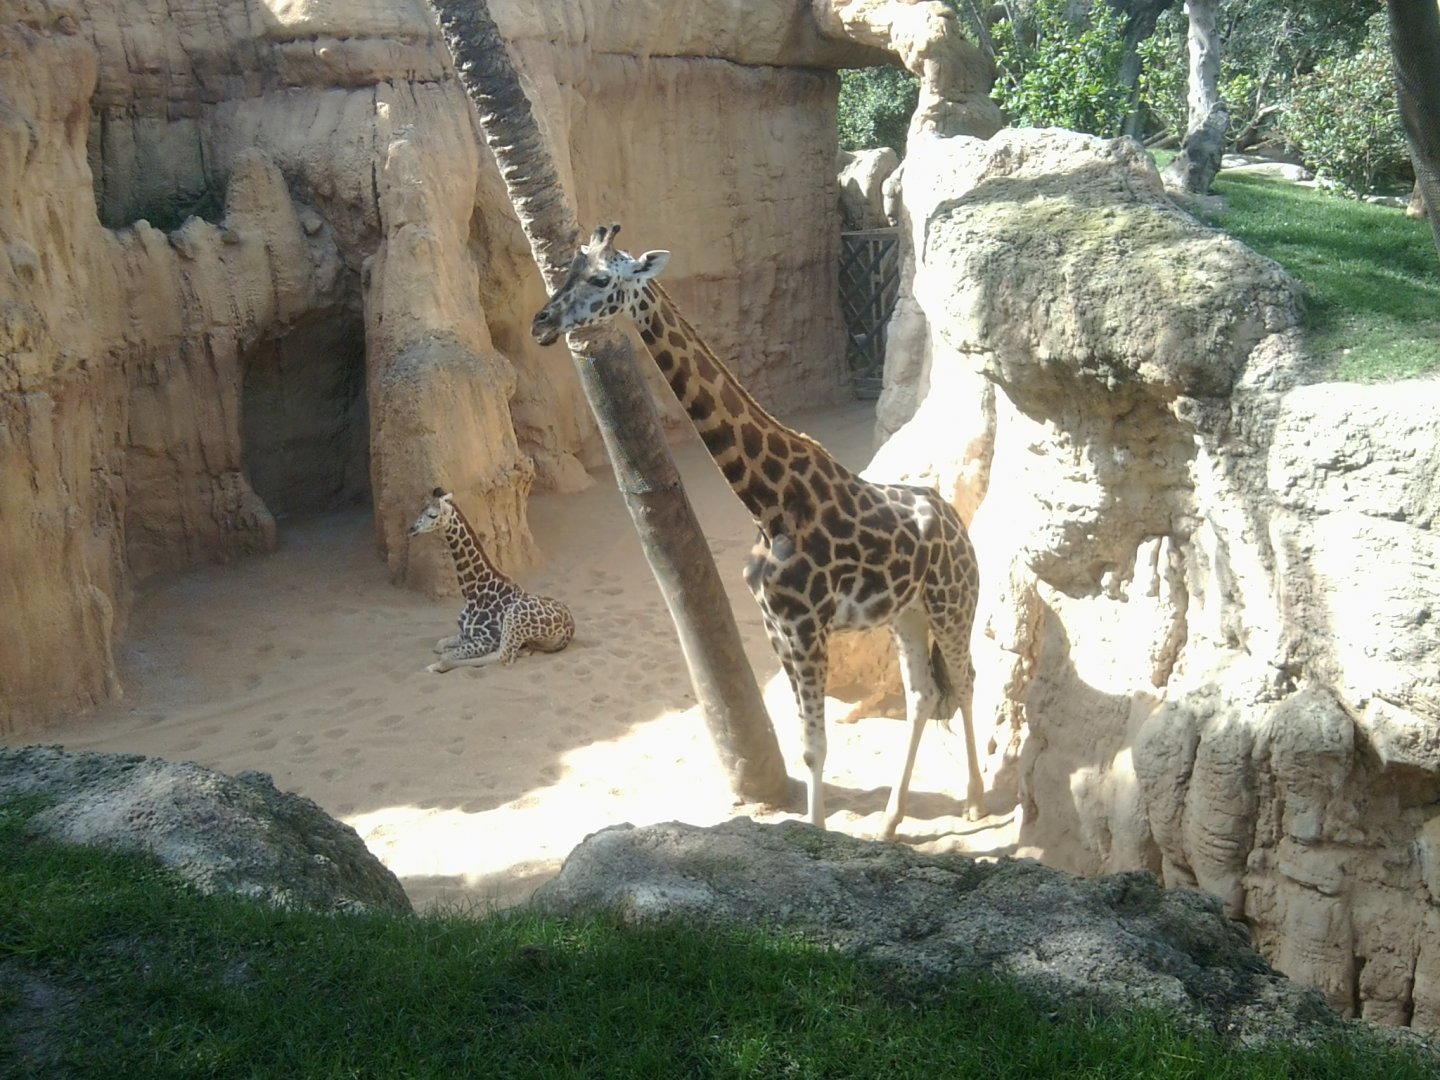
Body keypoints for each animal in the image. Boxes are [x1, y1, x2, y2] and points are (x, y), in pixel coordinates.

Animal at [408, 488, 575, 674]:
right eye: (421, 509)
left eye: (432, 515)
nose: (412, 528)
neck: (472, 592)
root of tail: (569, 627)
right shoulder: (466, 634)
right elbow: (439, 645)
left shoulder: (485, 639)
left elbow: (445, 657)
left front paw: (433, 666)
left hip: (513, 617)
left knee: (503, 656)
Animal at [530, 224, 984, 837]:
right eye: (570, 271)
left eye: (601, 279)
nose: (541, 323)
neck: (767, 502)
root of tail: (959, 527)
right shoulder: (777, 630)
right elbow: (806, 744)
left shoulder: (807, 629)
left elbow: (816, 748)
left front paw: (818, 839)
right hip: (906, 613)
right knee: (922, 693)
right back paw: (890, 822)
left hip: (952, 603)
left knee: (964, 680)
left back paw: (976, 800)